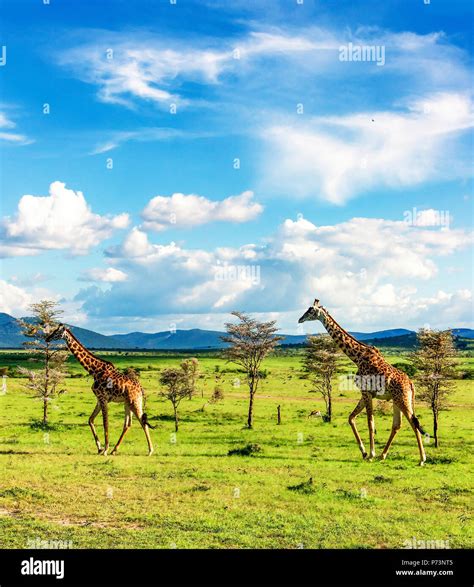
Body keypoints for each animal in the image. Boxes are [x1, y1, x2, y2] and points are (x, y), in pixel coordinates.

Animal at [45, 326, 155, 460]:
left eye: (57, 332)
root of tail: (141, 389)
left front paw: (105, 450)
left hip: (134, 401)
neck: (94, 370)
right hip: (127, 403)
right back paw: (114, 450)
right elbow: (90, 420)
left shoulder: (103, 398)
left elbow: (105, 423)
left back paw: (150, 451)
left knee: (142, 422)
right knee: (128, 424)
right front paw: (100, 448)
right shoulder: (99, 399)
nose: (47, 338)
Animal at [298, 300, 428, 466]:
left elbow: (370, 423)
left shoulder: (366, 392)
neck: (357, 356)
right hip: (397, 400)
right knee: (398, 424)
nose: (300, 319)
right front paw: (364, 452)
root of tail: (411, 384)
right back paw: (383, 455)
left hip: (402, 399)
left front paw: (371, 454)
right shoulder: (365, 393)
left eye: (311, 310)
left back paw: (421, 459)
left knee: (414, 423)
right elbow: (351, 418)